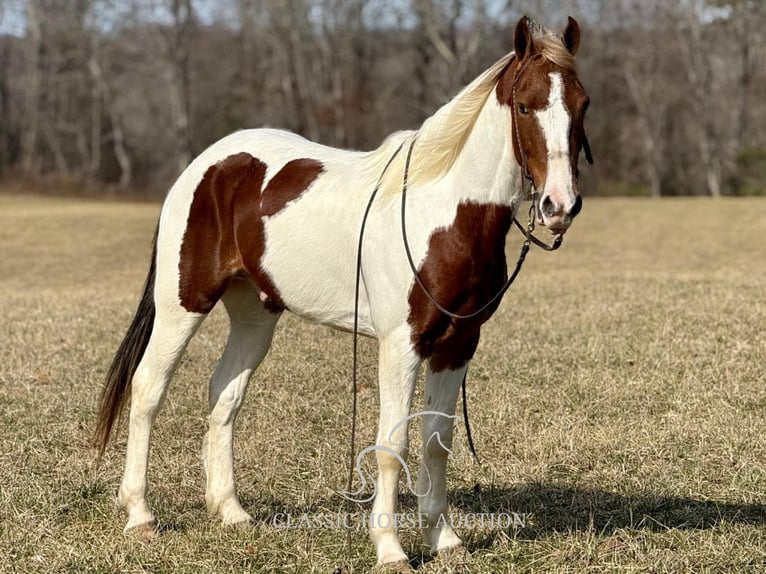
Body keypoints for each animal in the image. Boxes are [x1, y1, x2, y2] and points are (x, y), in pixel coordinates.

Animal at [93, 14, 592, 572]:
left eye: (583, 103)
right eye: (525, 105)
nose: (559, 205)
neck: (443, 213)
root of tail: (208, 163)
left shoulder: (458, 343)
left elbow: (436, 442)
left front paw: (444, 540)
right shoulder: (401, 345)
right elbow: (392, 443)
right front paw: (391, 549)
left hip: (255, 314)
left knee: (224, 394)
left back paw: (231, 512)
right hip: (182, 305)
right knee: (147, 389)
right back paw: (140, 515)